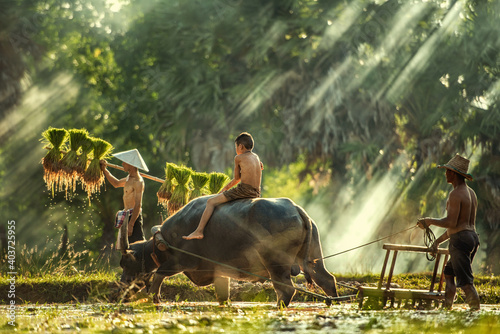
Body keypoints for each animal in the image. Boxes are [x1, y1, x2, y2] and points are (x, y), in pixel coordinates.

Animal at [117, 196, 336, 308]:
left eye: (126, 262)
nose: (123, 284)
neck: (165, 241)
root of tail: (296, 208)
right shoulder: (219, 270)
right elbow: (222, 293)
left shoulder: (184, 261)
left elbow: (159, 273)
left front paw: (154, 297)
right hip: (313, 257)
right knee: (326, 279)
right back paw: (334, 301)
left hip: (275, 262)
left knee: (286, 289)